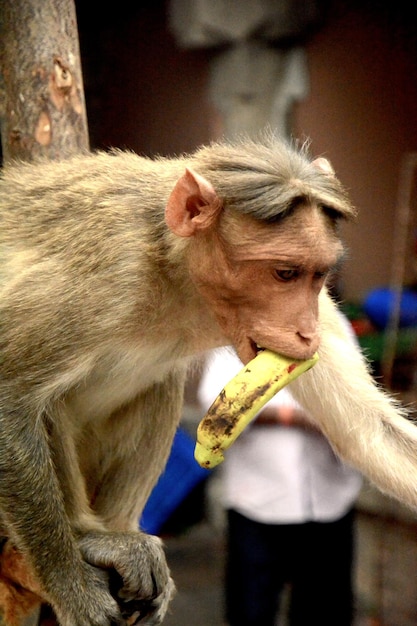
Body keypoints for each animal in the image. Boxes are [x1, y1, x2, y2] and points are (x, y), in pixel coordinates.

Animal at [0, 133, 414, 624]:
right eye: (285, 273)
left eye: (318, 275)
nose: (306, 333)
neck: (179, 276)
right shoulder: (106, 275)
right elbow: (9, 395)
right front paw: (71, 585)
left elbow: (369, 430)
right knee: (49, 403)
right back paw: (89, 536)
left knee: (159, 385)